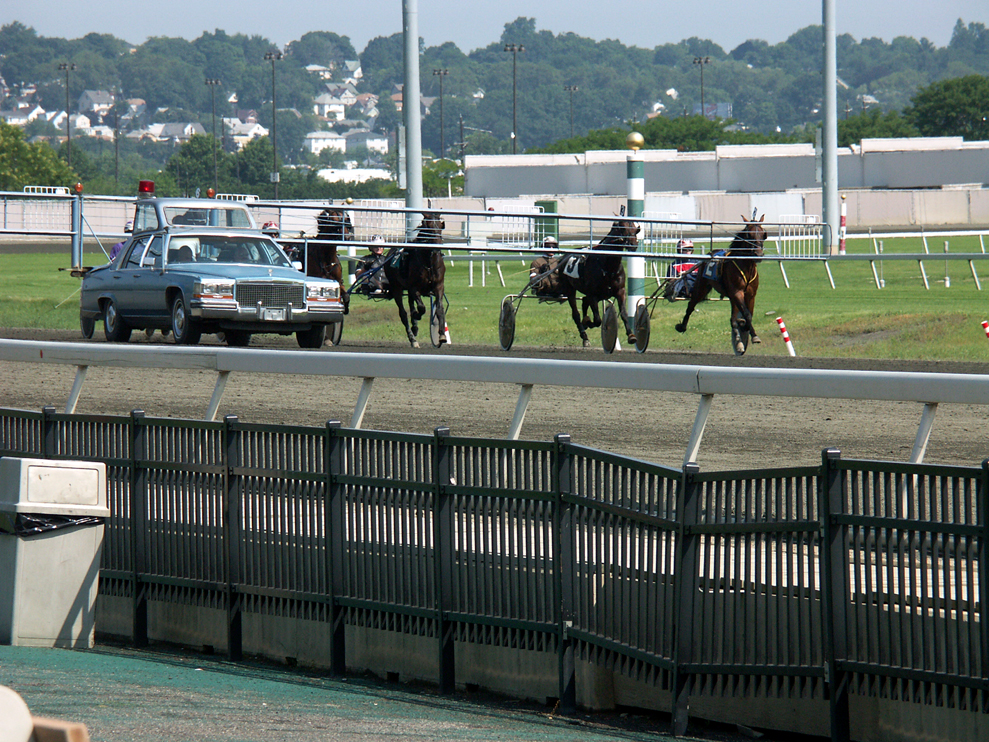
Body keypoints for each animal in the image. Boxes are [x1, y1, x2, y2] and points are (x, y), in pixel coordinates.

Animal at [382, 213, 447, 348]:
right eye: (428, 226)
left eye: (440, 225)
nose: (437, 246)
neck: (429, 263)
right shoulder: (414, 288)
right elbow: (421, 308)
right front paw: (417, 315)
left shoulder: (439, 286)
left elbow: (439, 308)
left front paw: (442, 335)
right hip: (396, 287)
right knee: (403, 313)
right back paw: (412, 338)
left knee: (411, 304)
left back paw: (415, 327)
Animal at [553, 218, 641, 348]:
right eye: (622, 228)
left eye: (635, 228)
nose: (633, 244)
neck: (608, 267)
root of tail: (564, 256)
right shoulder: (592, 294)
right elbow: (598, 320)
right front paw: (588, 322)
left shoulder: (620, 291)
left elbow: (624, 313)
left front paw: (631, 336)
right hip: (570, 289)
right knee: (576, 313)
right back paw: (584, 335)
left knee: (585, 301)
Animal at [674, 214, 767, 355]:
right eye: (749, 234)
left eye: (763, 234)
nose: (758, 254)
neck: (745, 267)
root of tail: (709, 254)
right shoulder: (737, 293)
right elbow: (746, 314)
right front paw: (747, 330)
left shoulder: (750, 295)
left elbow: (748, 314)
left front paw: (749, 332)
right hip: (701, 287)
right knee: (691, 305)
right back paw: (682, 326)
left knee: (732, 319)